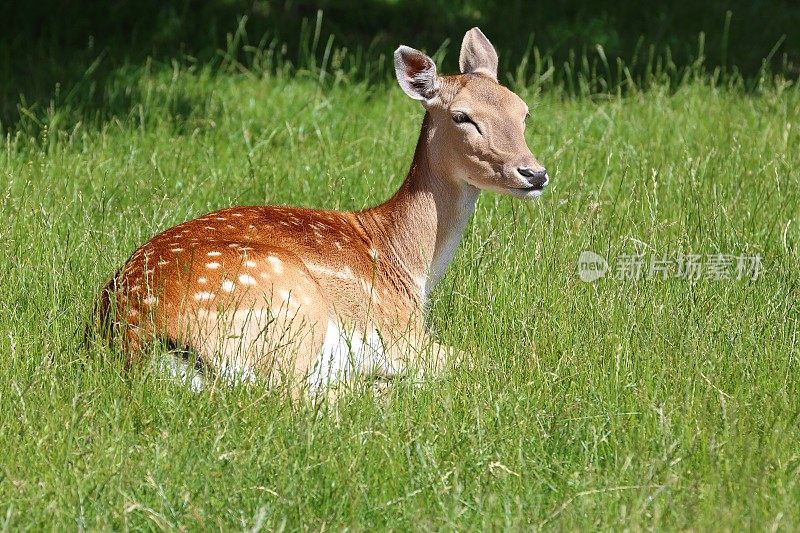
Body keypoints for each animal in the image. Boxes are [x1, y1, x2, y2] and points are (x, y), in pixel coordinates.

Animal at [95, 28, 552, 394]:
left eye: (524, 111)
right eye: (462, 117)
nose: (534, 173)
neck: (411, 266)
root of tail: (137, 339)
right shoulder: (402, 335)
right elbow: (488, 361)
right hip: (291, 310)